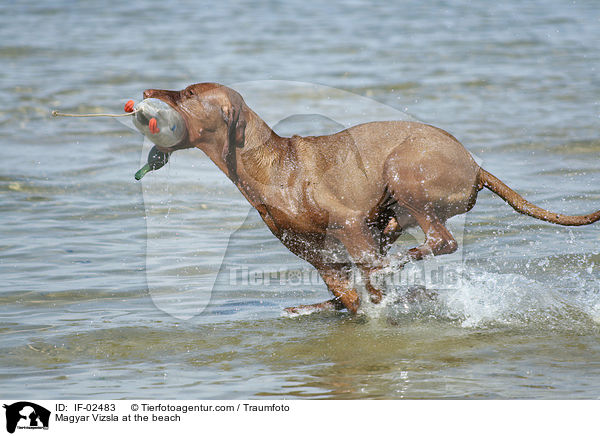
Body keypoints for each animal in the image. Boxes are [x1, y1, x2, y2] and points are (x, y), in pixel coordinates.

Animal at [139, 82, 600, 314]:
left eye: (187, 95)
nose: (145, 92)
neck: (273, 165)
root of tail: (476, 167)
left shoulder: (349, 224)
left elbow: (368, 282)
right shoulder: (317, 253)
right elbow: (346, 290)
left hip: (404, 172)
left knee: (440, 241)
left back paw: (395, 267)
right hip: (392, 211)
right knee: (403, 243)